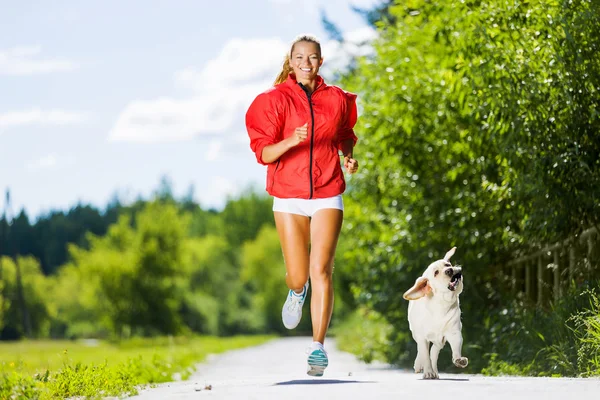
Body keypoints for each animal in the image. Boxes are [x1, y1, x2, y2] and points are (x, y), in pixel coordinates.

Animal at [404, 245, 468, 380]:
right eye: (436, 273)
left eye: (447, 264)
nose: (449, 270)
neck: (442, 304)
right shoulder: (422, 336)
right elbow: (424, 355)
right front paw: (427, 371)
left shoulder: (454, 333)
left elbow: (455, 347)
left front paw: (459, 359)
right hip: (416, 333)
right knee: (421, 351)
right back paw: (420, 365)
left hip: (439, 341)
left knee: (434, 353)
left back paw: (435, 372)